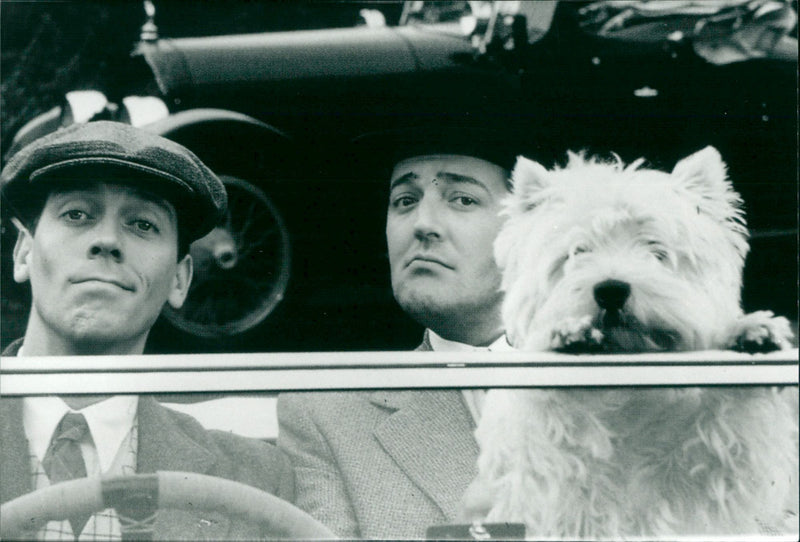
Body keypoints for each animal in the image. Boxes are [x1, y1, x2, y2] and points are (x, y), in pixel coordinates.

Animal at [466, 146, 796, 540]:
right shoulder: (547, 479)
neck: (626, 393)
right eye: (577, 252)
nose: (610, 290)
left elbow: (726, 435)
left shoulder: (707, 475)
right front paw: (568, 337)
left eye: (657, 252)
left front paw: (750, 334)